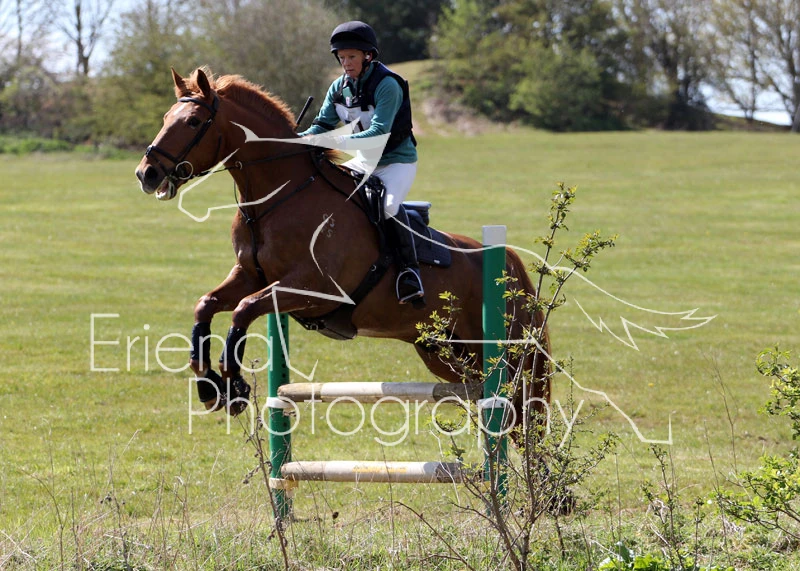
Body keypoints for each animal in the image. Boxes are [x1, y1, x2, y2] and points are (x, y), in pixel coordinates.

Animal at [134, 67, 550, 428]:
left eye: (192, 122)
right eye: (166, 116)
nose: (146, 174)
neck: (277, 198)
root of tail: (510, 262)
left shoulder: (313, 288)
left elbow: (243, 310)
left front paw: (233, 382)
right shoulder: (251, 276)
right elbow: (206, 305)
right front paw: (209, 386)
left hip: (505, 352)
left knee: (523, 413)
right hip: (446, 353)